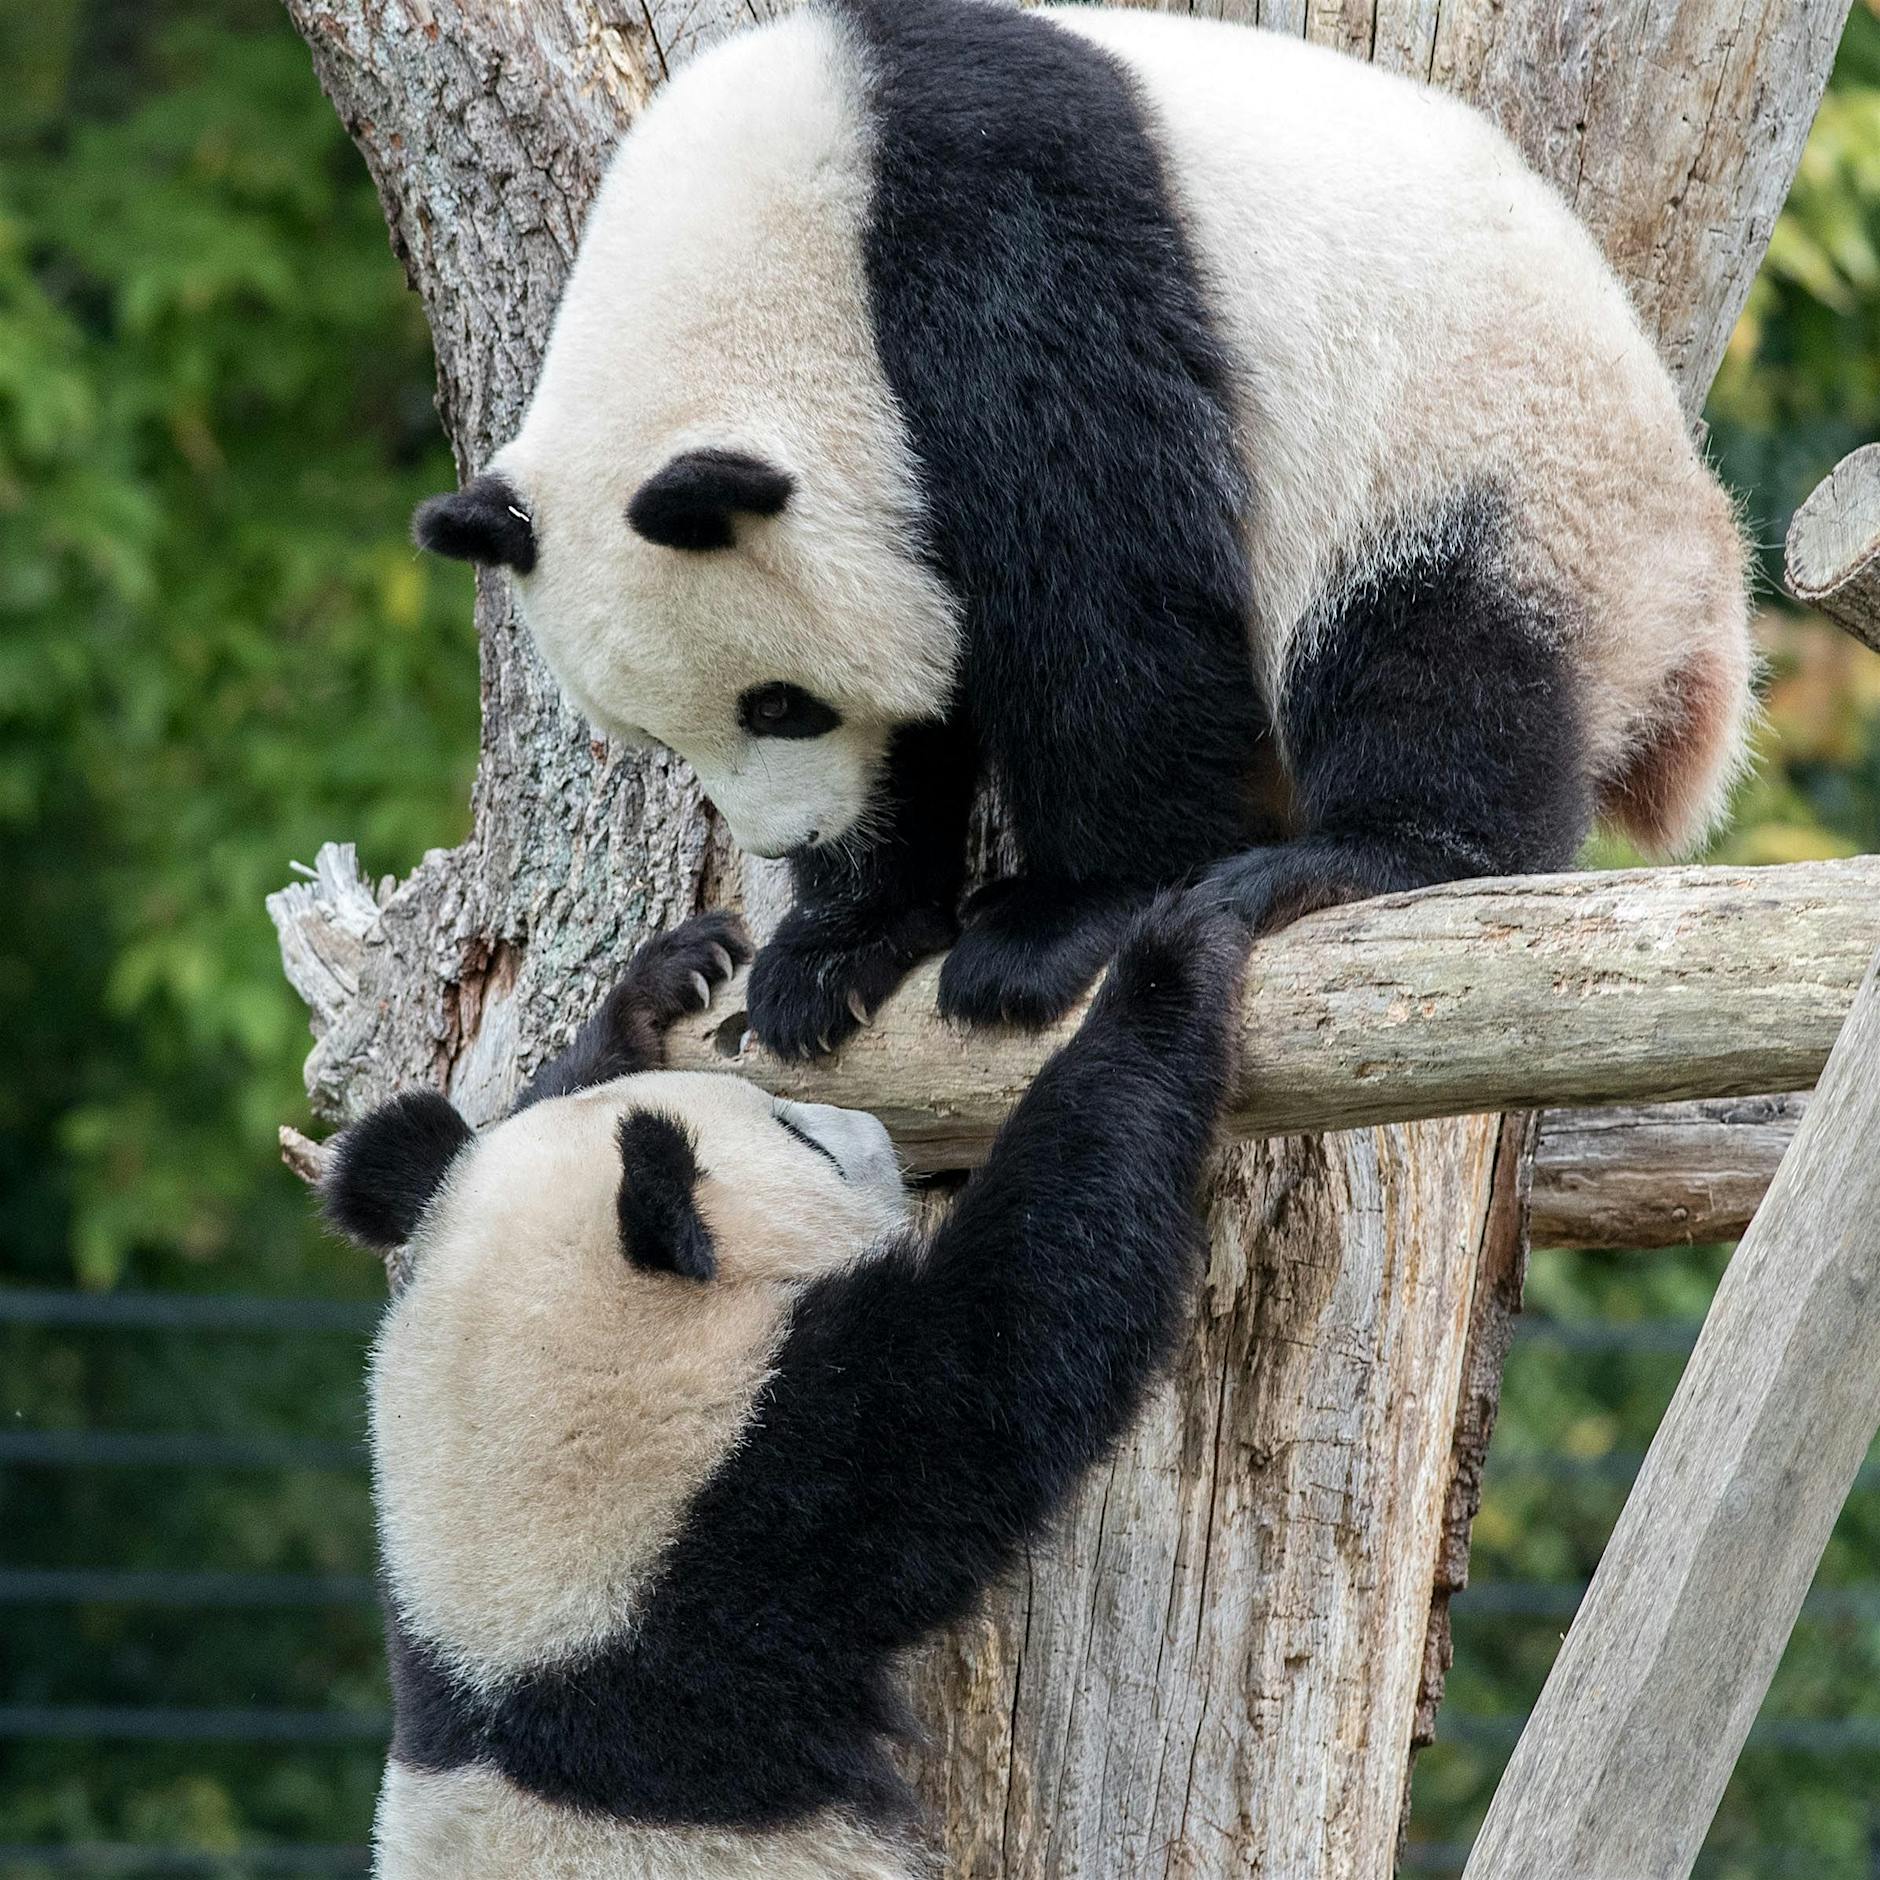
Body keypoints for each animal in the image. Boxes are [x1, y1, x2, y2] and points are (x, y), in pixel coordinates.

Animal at [324, 904, 1245, 1877]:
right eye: (797, 1135)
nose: (873, 1125)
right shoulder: (765, 1506)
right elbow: (1016, 1339)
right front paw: (1168, 964)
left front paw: (666, 980)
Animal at [415, 0, 1752, 1059]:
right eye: (654, 734)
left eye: (778, 703)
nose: (796, 832)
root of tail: (1702, 612)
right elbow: (930, 702)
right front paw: (832, 951)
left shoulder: (1004, 243)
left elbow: (1104, 593)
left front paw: (1047, 927)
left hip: (1499, 458)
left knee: (1437, 646)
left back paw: (1363, 857)